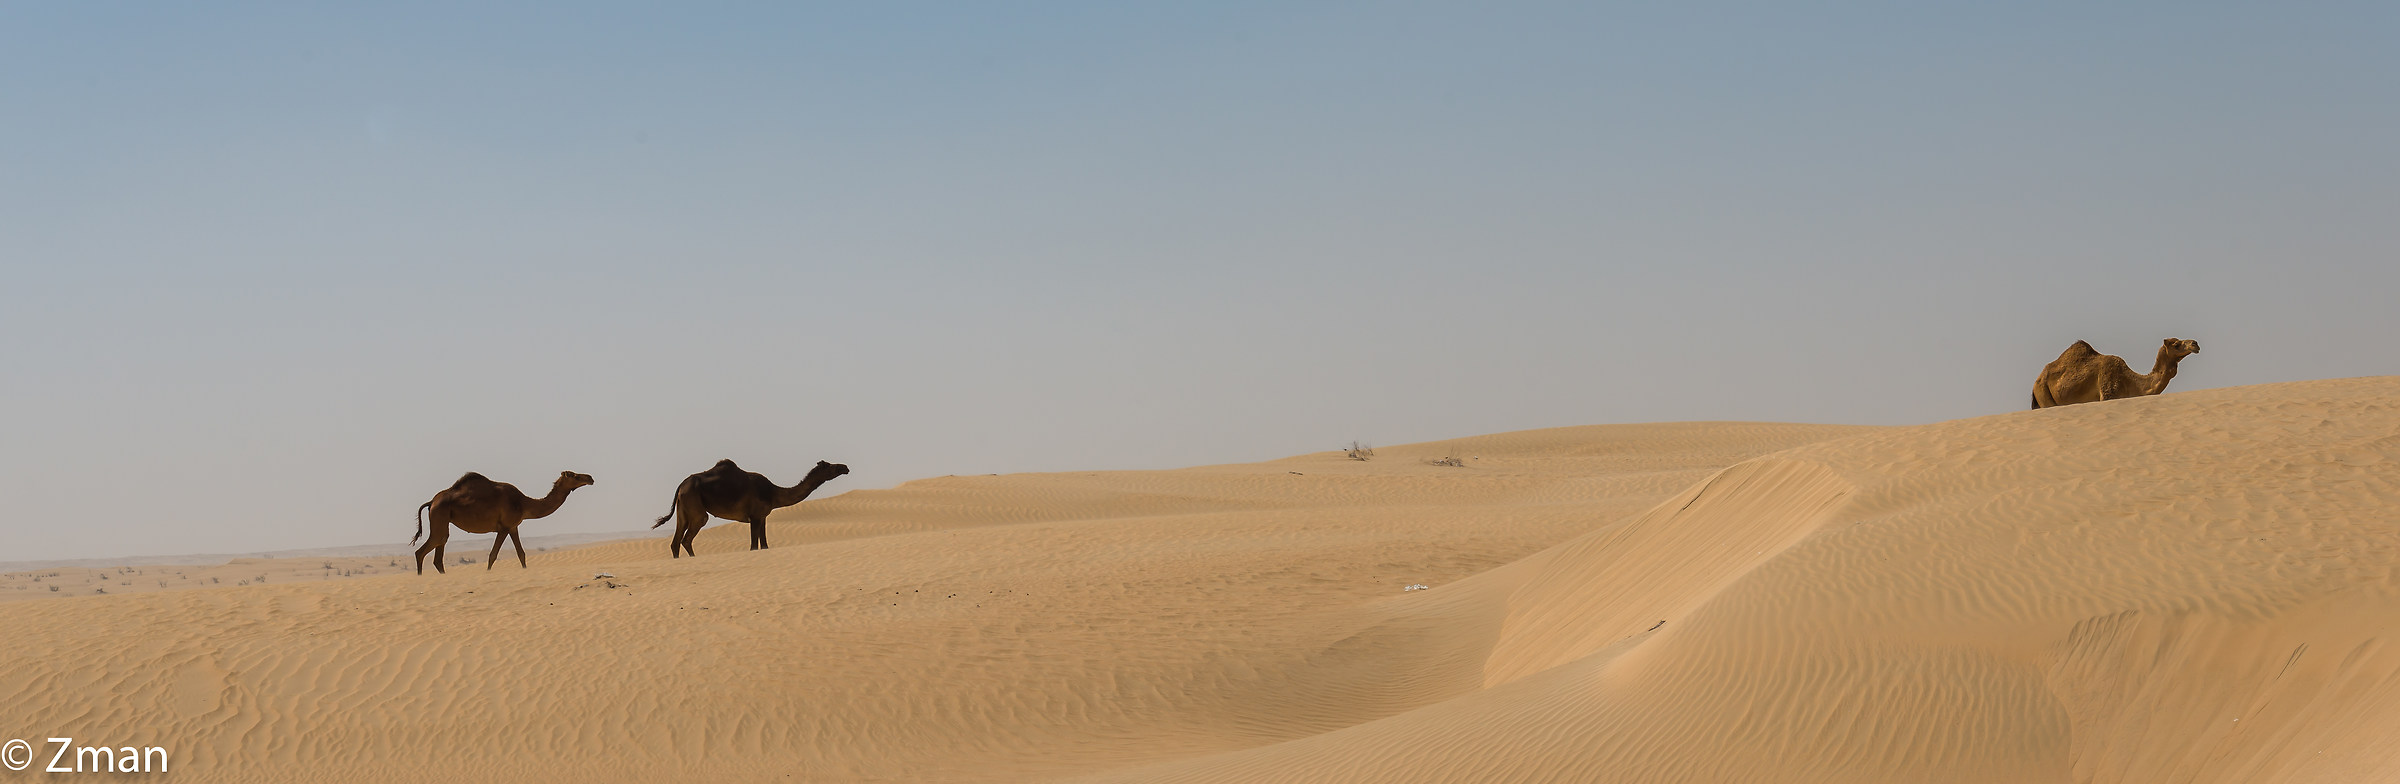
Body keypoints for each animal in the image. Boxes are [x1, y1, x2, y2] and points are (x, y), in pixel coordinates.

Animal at [412, 471, 595, 574]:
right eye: (574, 475)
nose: (591, 478)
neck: (523, 503)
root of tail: (431, 502)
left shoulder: (513, 527)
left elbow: (521, 554)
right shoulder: (505, 527)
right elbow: (493, 555)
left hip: (443, 521)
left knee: (439, 552)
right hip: (439, 516)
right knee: (422, 551)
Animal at [653, 459, 849, 558]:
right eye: (830, 466)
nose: (845, 467)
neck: (773, 492)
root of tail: (681, 485)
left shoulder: (762, 517)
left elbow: (765, 545)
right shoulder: (755, 516)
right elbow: (754, 546)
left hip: (683, 509)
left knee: (676, 541)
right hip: (696, 508)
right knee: (687, 538)